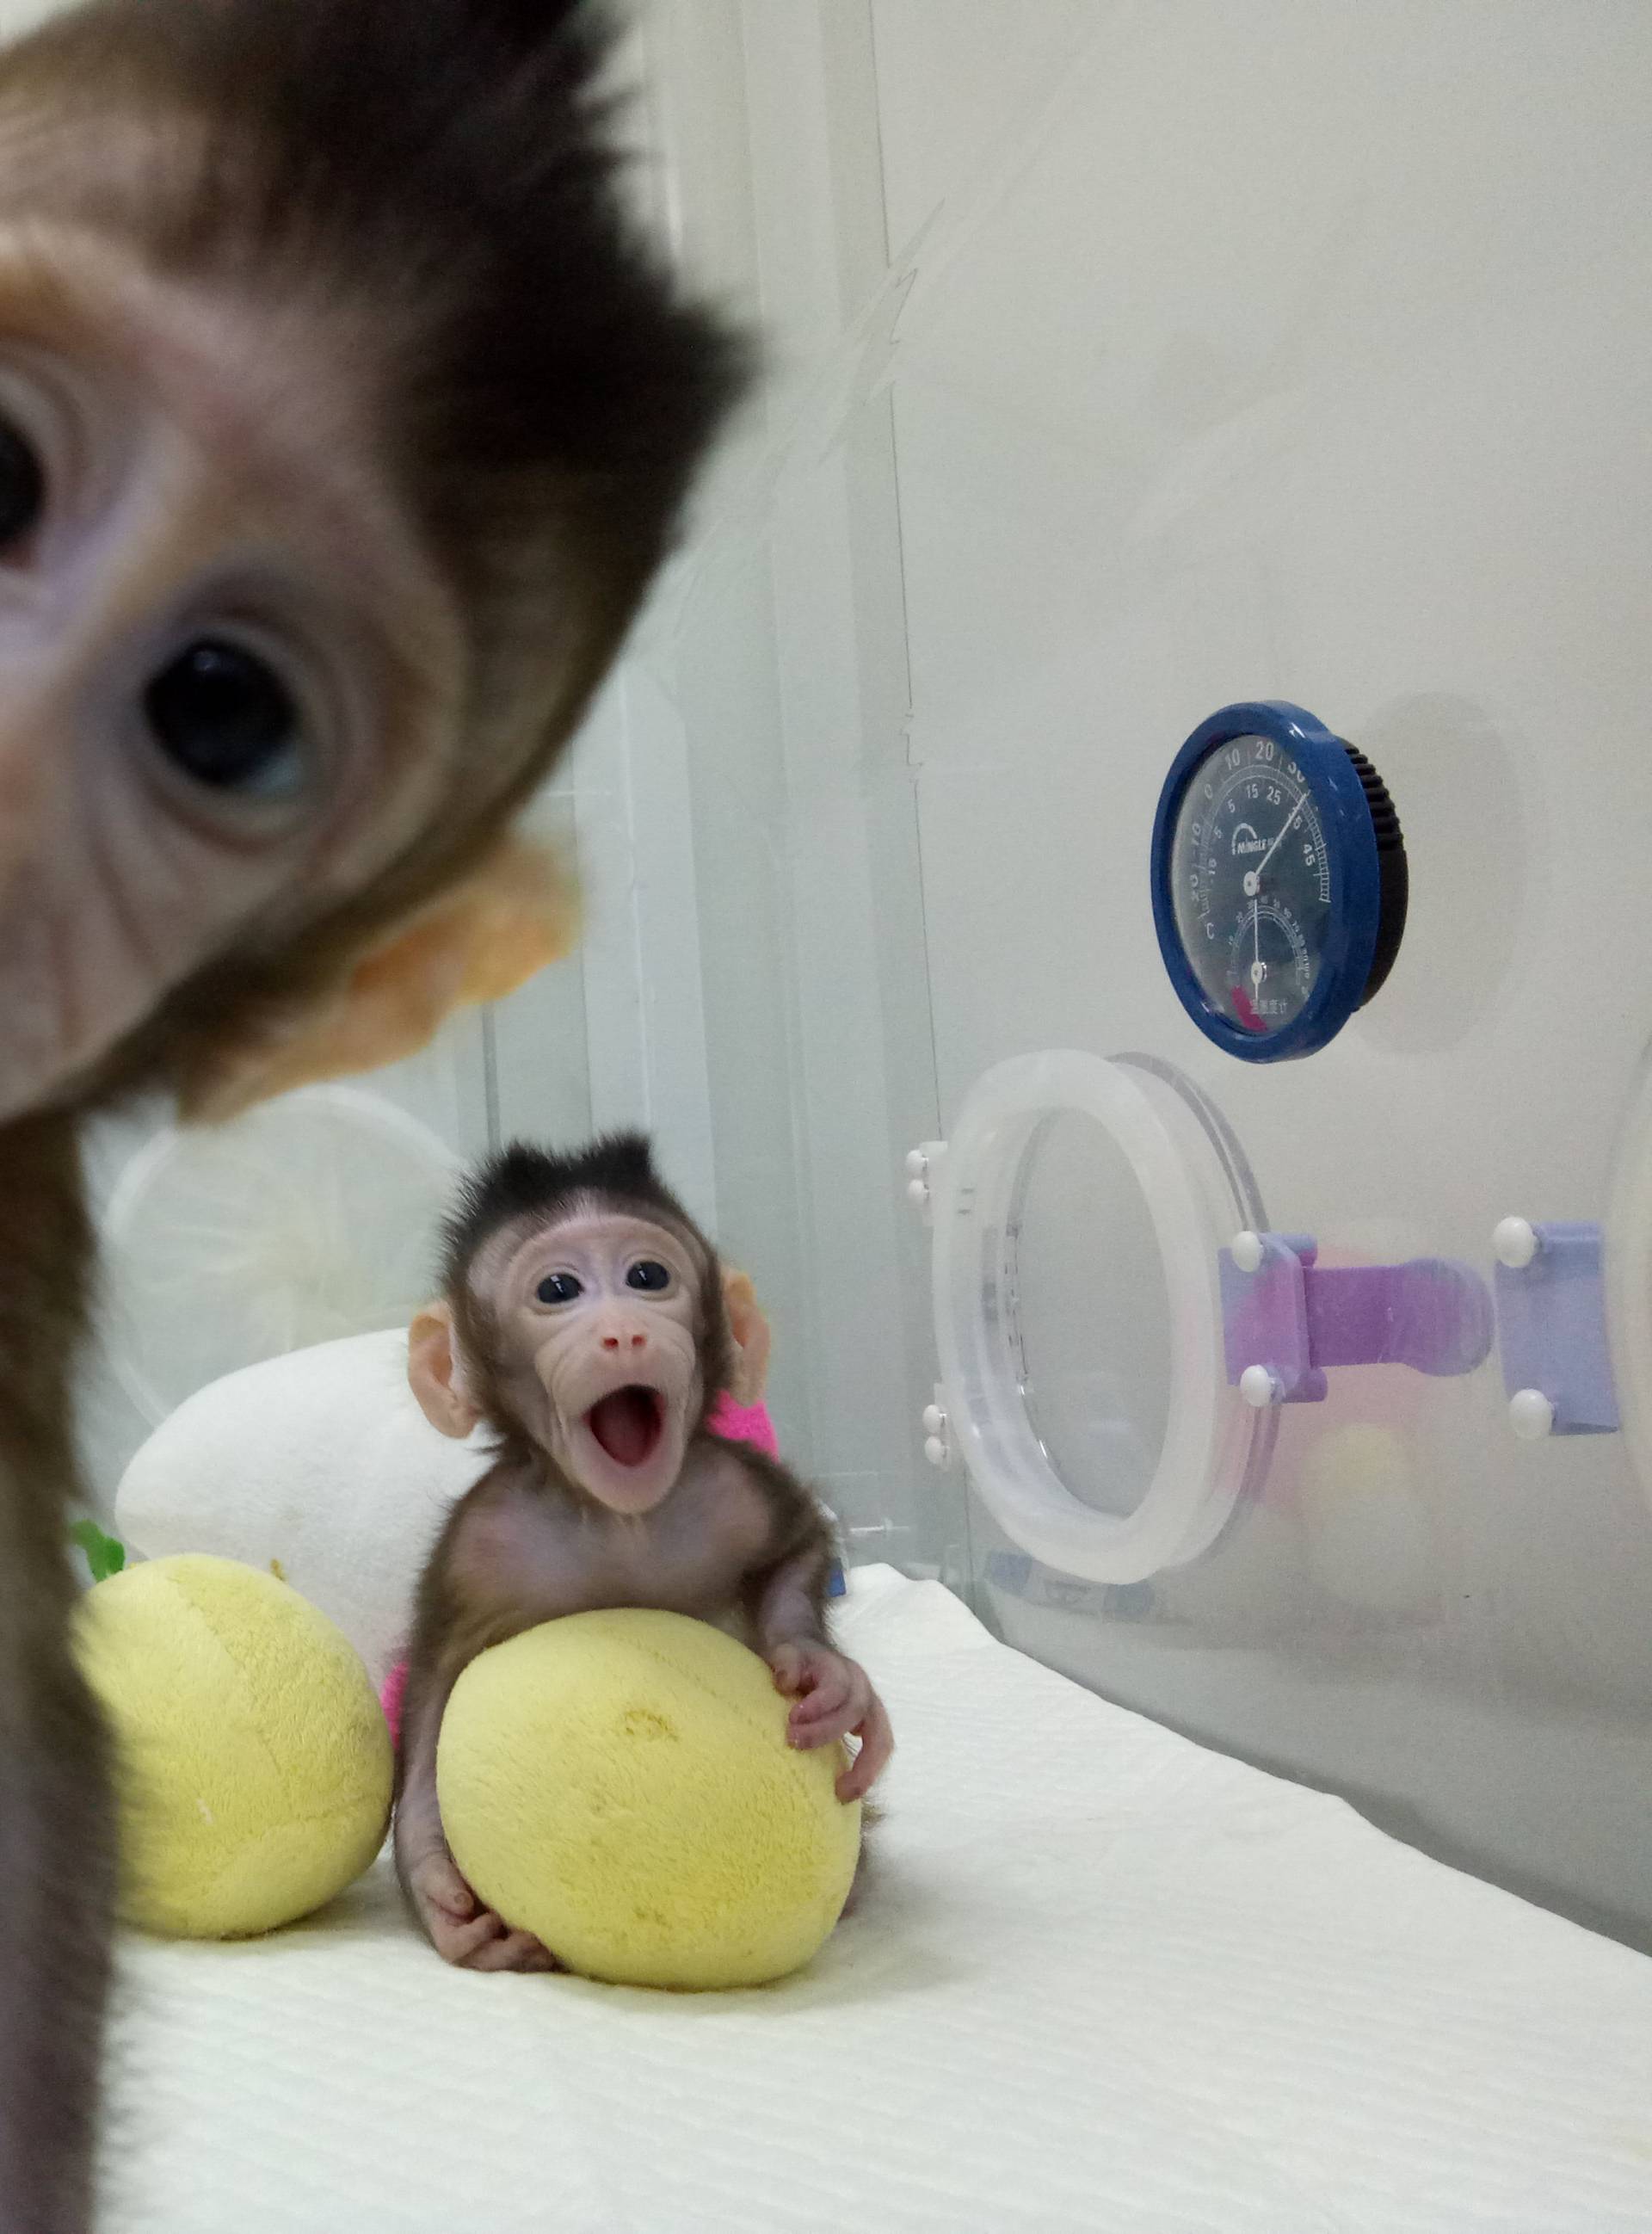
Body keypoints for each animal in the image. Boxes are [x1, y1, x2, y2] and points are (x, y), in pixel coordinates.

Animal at [399, 1134, 888, 1974]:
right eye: (558, 1289)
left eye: (648, 1278)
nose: (623, 1331)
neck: (618, 1522)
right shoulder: (477, 1546)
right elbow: (433, 1689)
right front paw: (436, 1885)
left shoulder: (731, 1487)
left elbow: (797, 1547)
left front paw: (825, 1674)